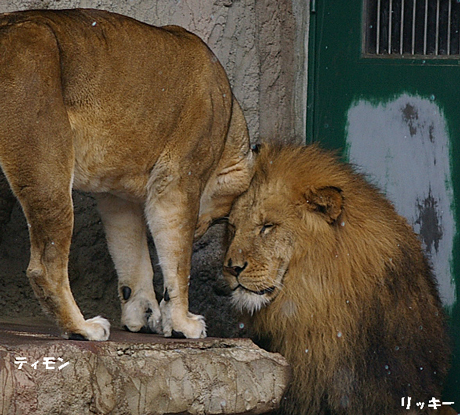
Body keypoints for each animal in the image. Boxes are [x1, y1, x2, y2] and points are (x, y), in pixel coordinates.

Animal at [0, 8, 255, 342]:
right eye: (221, 219)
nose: (201, 233)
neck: (229, 125)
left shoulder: (117, 196)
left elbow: (132, 257)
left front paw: (145, 316)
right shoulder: (177, 181)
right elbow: (178, 263)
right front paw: (182, 323)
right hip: (48, 163)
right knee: (44, 266)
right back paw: (83, 328)